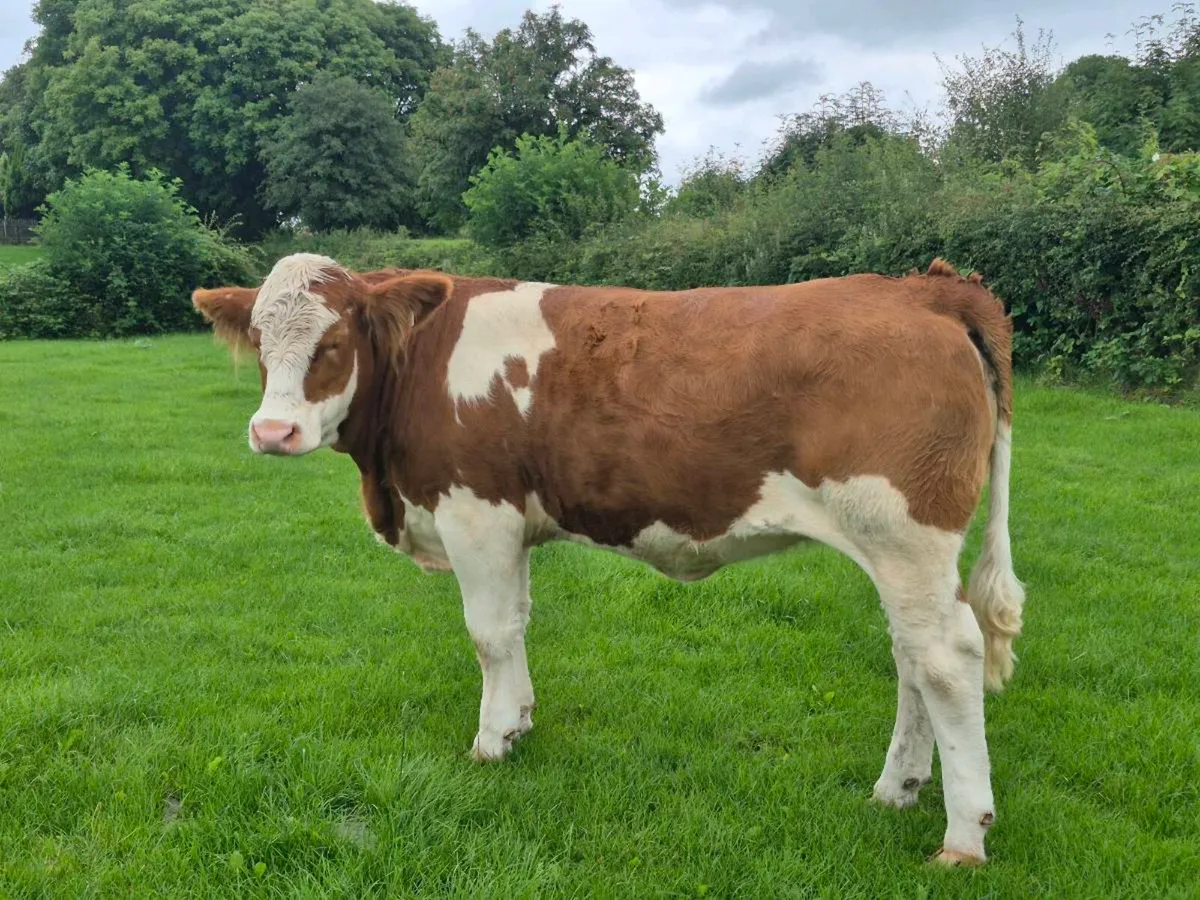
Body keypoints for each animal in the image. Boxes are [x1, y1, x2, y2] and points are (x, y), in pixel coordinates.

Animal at [192, 253, 1025, 866]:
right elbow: (517, 623)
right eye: (260, 345)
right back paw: (898, 787)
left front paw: (490, 742)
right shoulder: (509, 525)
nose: (272, 433)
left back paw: (963, 835)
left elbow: (488, 633)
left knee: (945, 658)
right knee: (911, 655)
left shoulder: (475, 510)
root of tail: (923, 289)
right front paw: (521, 721)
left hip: (904, 535)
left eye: (333, 344)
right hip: (902, 553)